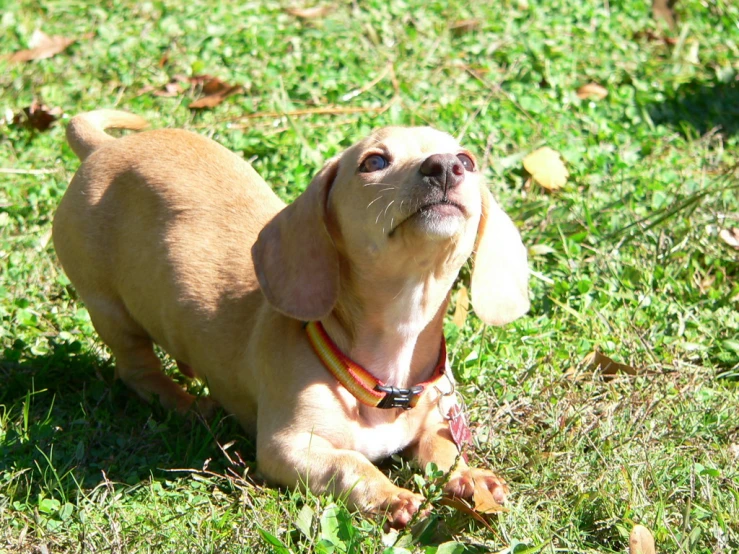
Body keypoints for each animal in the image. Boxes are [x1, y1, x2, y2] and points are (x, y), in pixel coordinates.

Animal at [53, 109, 532, 528]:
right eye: (374, 161)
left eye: (467, 159)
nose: (446, 166)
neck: (384, 375)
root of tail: (103, 148)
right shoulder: (287, 447)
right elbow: (349, 463)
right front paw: (390, 495)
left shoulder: (435, 421)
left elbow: (442, 451)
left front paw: (469, 477)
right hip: (108, 306)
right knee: (136, 368)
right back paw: (185, 402)